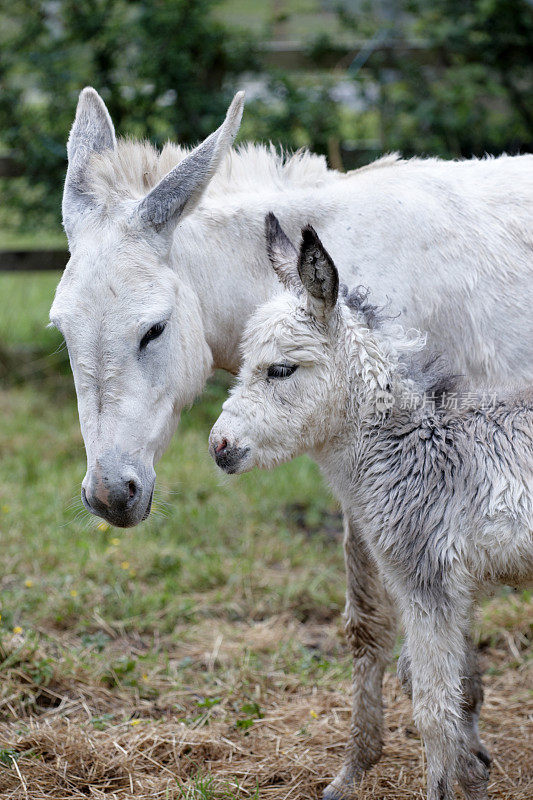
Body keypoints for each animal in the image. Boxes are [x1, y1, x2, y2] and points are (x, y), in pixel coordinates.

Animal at [211, 214, 532, 800]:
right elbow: (442, 691)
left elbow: (434, 711)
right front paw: (474, 773)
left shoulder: (427, 583)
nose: (219, 447)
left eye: (281, 370)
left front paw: (445, 786)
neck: (418, 450)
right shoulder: (454, 589)